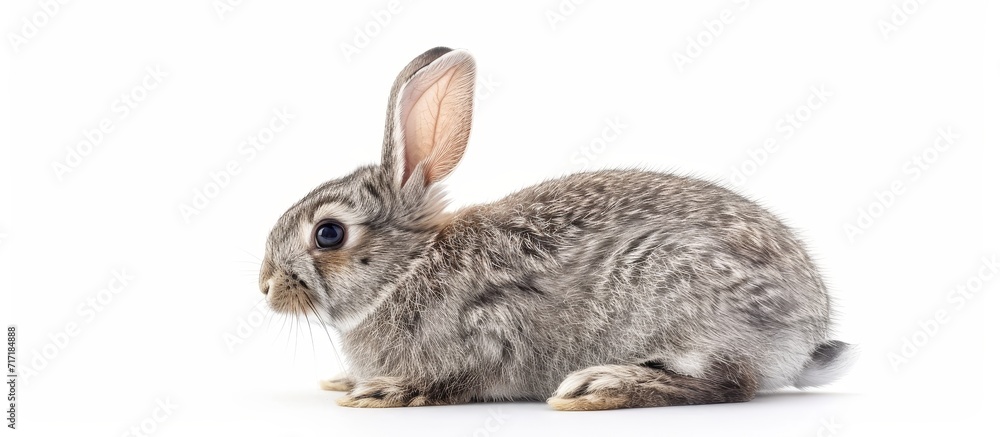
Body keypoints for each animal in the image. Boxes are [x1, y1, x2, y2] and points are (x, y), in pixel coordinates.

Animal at [258, 46, 856, 410]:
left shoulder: (490, 330)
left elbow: (459, 378)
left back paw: (604, 385)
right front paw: (346, 381)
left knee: (731, 382)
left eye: (328, 234)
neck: (405, 271)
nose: (265, 286)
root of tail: (805, 332)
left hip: (681, 293)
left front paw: (382, 392)